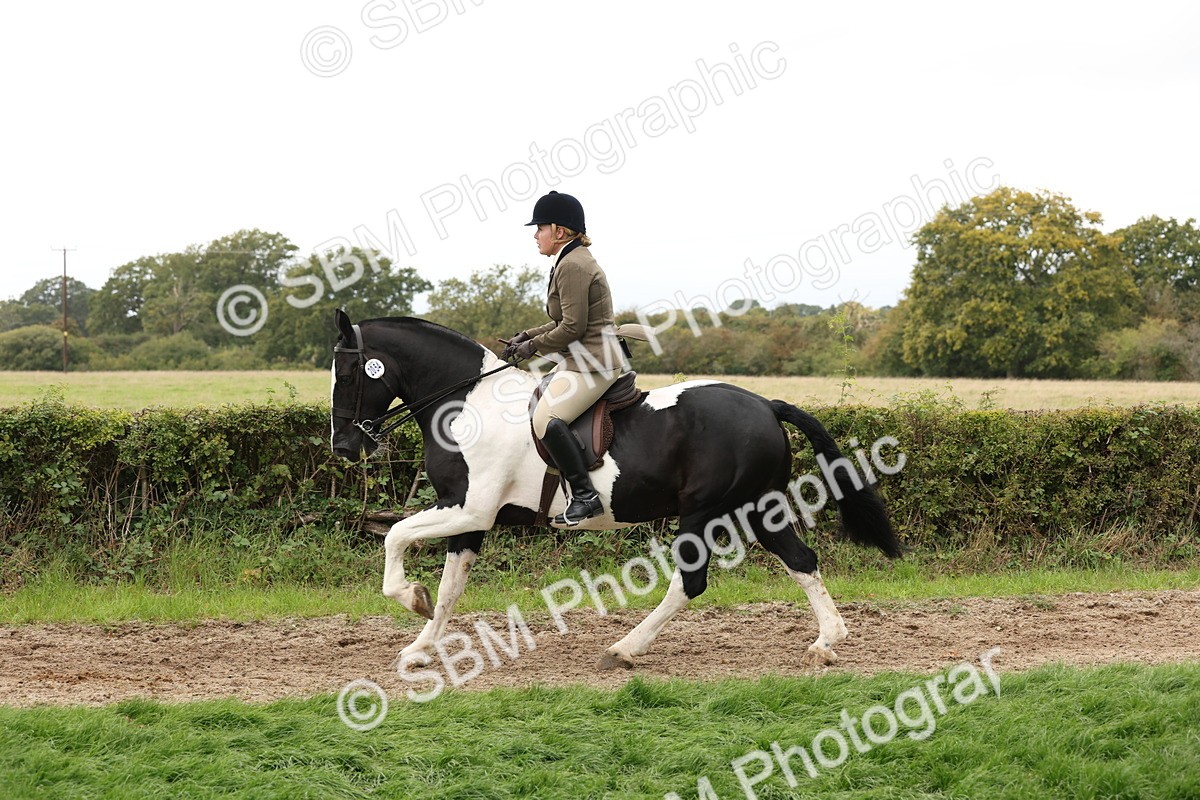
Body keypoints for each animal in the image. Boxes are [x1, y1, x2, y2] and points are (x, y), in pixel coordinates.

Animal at [329, 310, 902, 670]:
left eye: (350, 371)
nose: (343, 446)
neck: (467, 404)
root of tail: (766, 404)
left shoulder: (469, 509)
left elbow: (395, 537)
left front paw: (411, 597)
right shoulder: (470, 518)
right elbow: (449, 589)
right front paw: (421, 646)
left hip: (706, 511)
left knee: (690, 581)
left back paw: (624, 649)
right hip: (759, 508)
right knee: (801, 560)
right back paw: (827, 642)